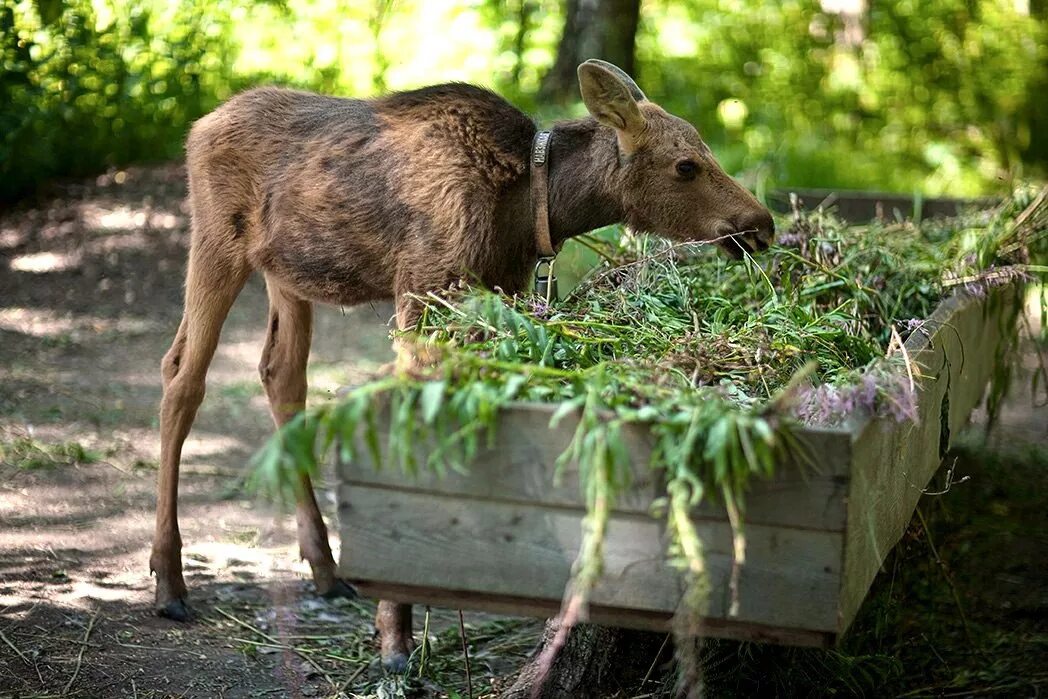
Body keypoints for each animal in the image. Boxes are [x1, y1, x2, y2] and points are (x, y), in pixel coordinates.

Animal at [151, 58, 775, 670]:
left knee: (280, 376)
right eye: (686, 165)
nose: (761, 224)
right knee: (182, 377)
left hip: (288, 273)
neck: (530, 212)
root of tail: (198, 128)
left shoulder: (493, 296)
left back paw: (325, 568)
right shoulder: (422, 289)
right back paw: (169, 582)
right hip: (217, 243)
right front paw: (395, 639)